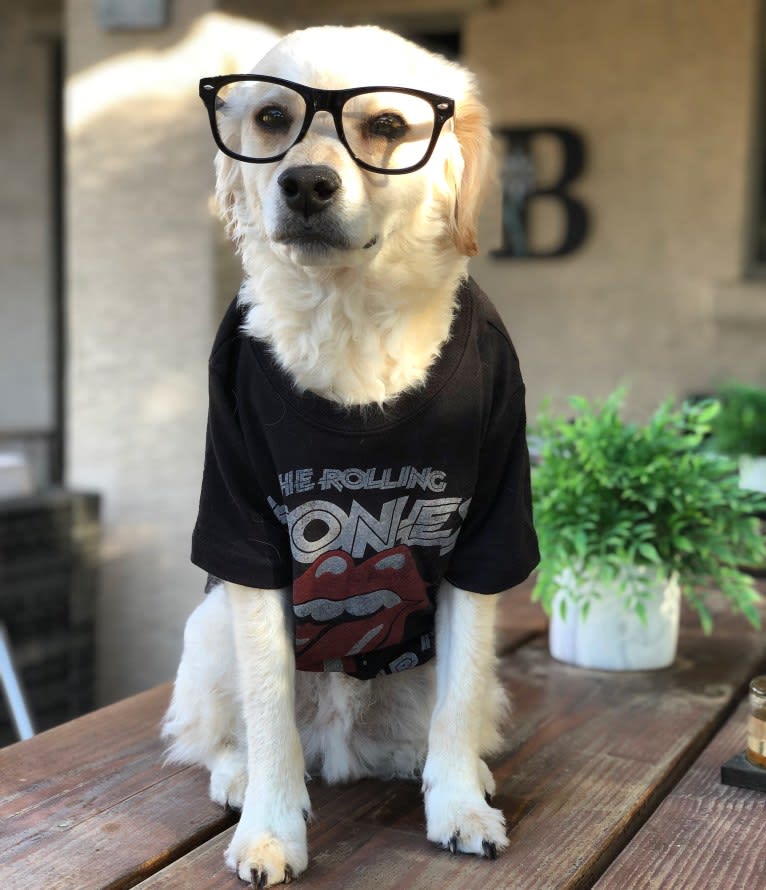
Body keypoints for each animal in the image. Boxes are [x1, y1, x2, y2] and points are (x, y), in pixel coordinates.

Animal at [160, 24, 540, 884]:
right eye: (273, 117)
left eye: (389, 127)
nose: (304, 184)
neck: (350, 313)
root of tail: (342, 740)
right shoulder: (246, 543)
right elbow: (268, 713)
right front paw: (270, 827)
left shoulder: (487, 540)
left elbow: (456, 704)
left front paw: (458, 806)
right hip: (207, 634)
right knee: (219, 737)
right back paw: (239, 776)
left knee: (450, 716)